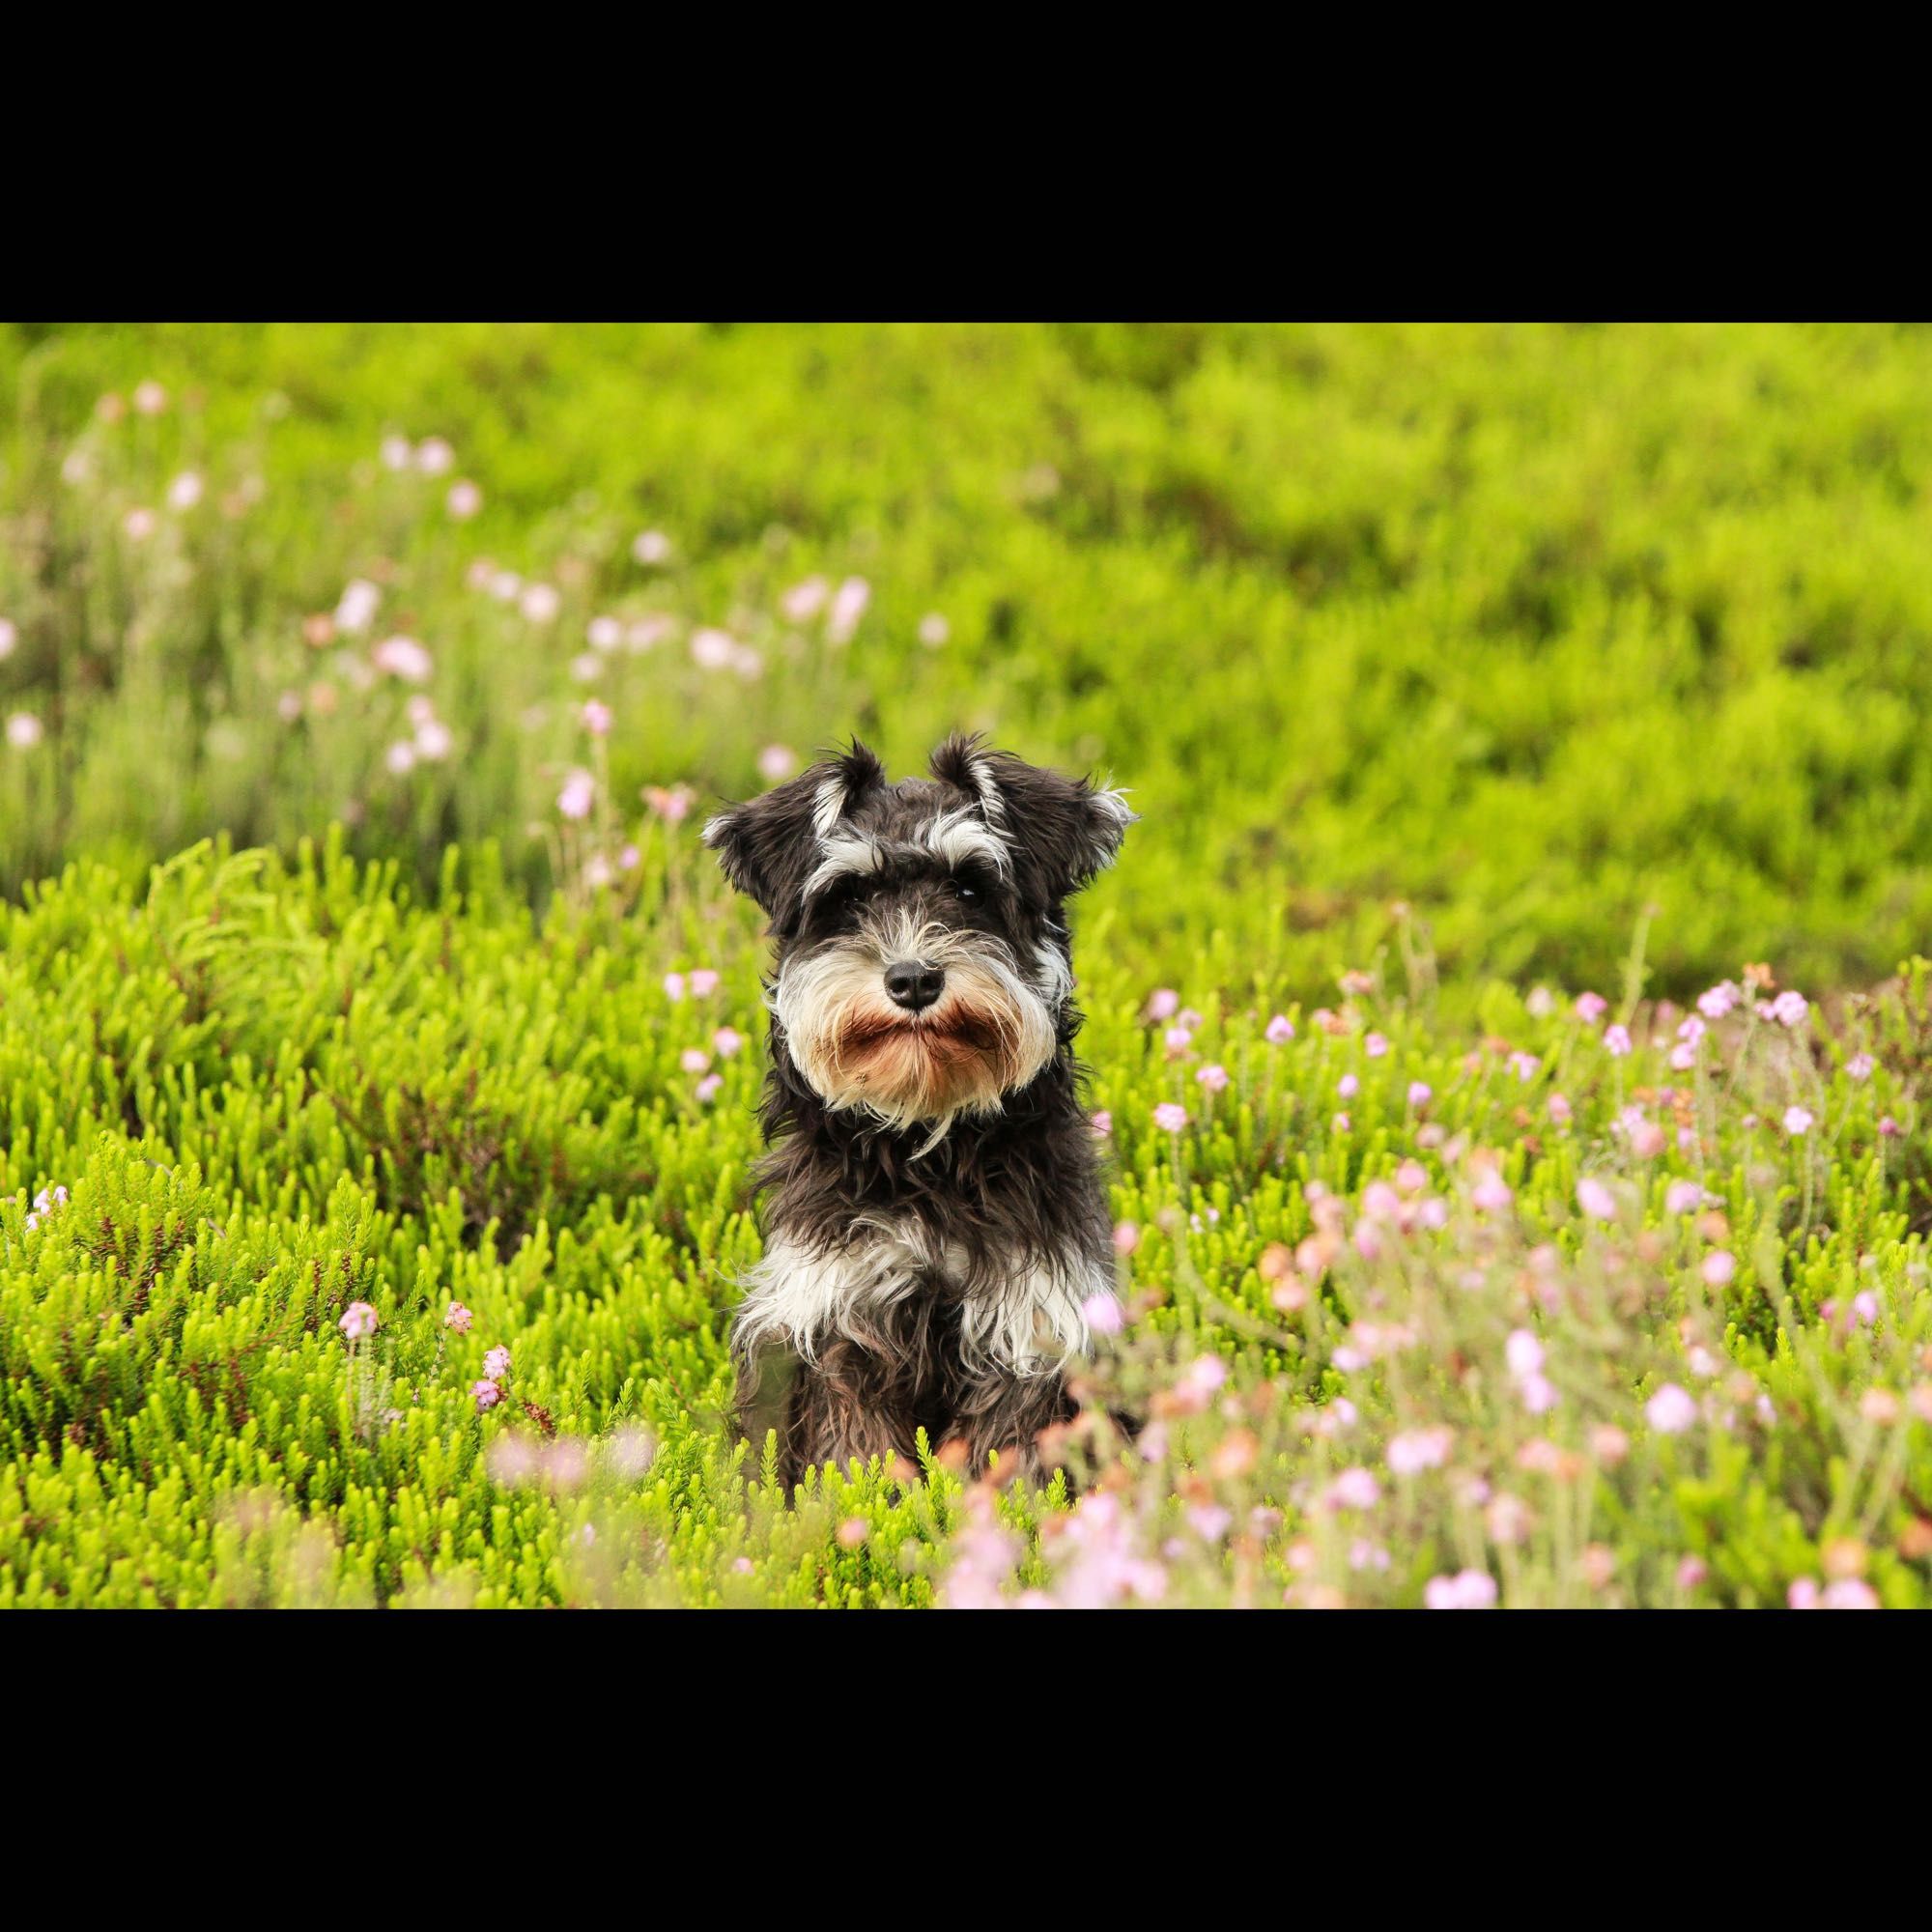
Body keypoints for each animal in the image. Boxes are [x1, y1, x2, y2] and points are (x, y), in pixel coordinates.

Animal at [707, 730, 1128, 1484]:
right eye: (847, 896)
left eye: (970, 887)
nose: (912, 979)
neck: (928, 1144)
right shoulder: (839, 1322)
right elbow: (856, 1457)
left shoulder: (1029, 1326)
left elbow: (1005, 1456)